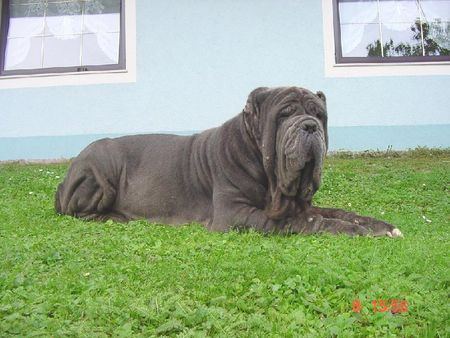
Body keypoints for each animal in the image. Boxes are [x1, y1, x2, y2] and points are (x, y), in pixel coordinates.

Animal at [54, 86, 402, 236]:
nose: (310, 126)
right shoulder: (235, 213)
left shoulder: (301, 203)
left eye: (320, 115)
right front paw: (355, 231)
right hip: (102, 166)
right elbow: (302, 222)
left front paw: (381, 225)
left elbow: (339, 212)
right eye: (285, 114)